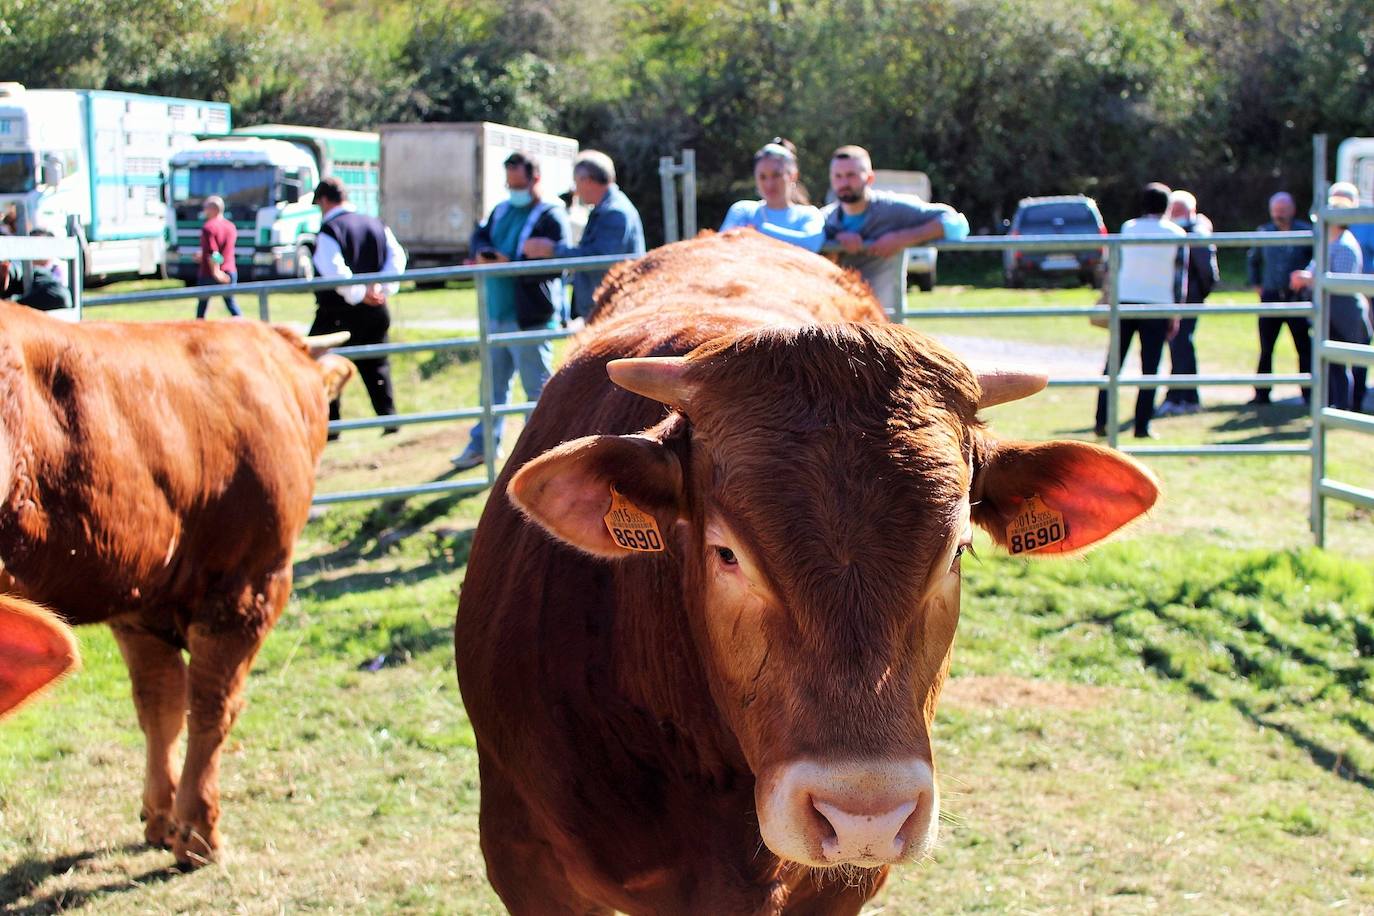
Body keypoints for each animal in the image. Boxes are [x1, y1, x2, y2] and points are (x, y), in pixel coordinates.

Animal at [1, 304, 354, 873]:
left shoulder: (137, 605)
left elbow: (160, 704)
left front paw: (161, 817)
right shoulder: (248, 587)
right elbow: (212, 705)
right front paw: (199, 832)